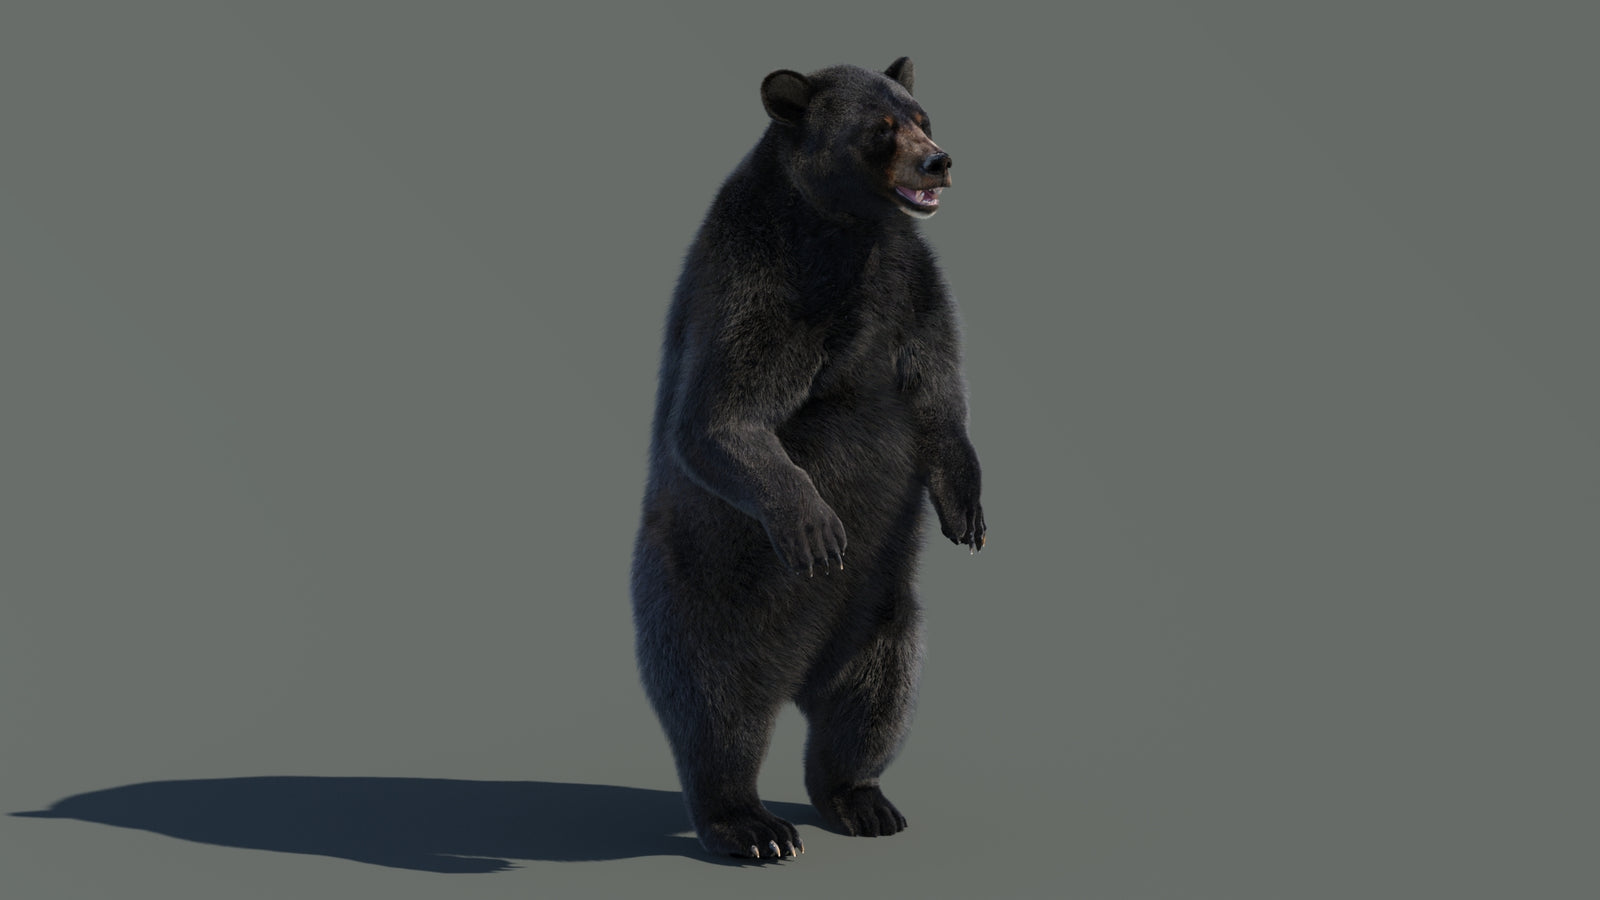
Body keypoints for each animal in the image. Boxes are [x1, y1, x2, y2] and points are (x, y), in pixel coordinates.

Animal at [630, 56, 985, 861]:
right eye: (881, 128)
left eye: (922, 115)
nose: (939, 161)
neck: (845, 228)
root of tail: (797, 673)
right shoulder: (763, 280)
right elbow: (720, 415)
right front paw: (815, 525)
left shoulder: (910, 282)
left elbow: (939, 389)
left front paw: (968, 510)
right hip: (705, 597)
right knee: (717, 708)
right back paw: (752, 825)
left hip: (884, 613)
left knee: (873, 698)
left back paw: (863, 800)